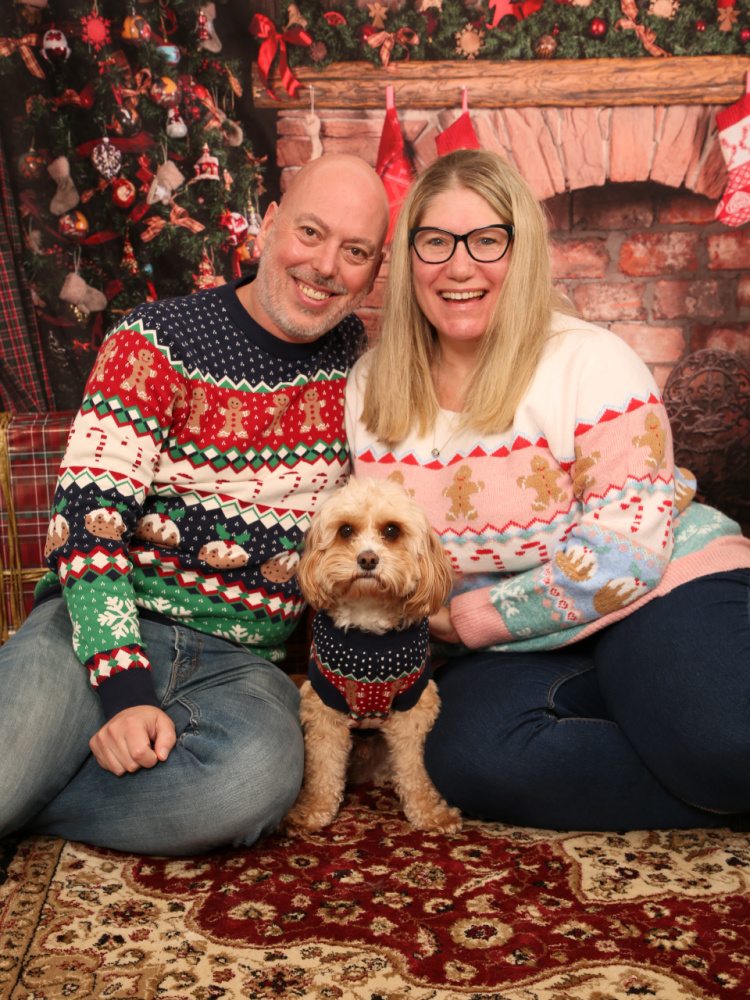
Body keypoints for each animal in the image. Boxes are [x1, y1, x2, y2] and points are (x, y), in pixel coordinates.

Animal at [282, 476, 464, 836]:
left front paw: (428, 813)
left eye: (392, 531)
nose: (367, 559)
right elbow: (323, 770)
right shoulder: (323, 707)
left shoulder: (414, 707)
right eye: (345, 531)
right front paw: (313, 812)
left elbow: (415, 770)